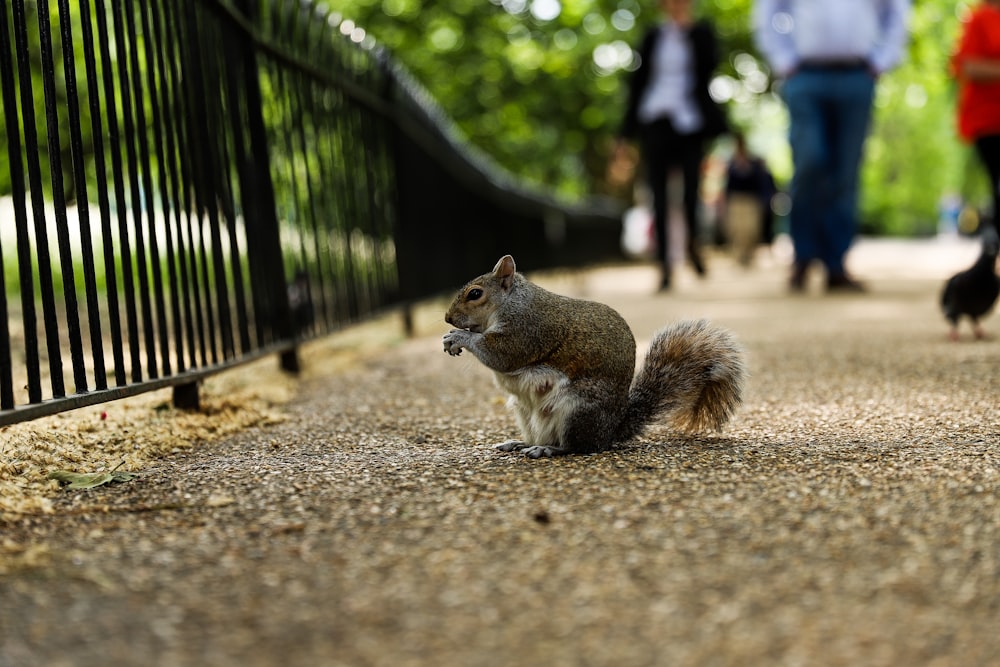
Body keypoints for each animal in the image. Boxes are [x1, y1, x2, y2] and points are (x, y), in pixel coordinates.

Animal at [442, 256, 748, 460]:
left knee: (580, 447)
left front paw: (458, 337)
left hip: (576, 410)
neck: (510, 302)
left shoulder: (528, 329)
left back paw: (548, 448)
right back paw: (520, 444)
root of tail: (611, 429)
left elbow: (502, 356)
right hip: (523, 412)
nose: (446, 317)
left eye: (475, 293)